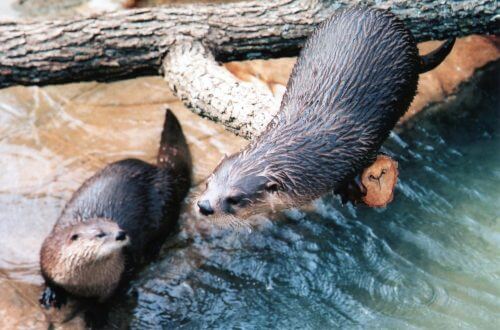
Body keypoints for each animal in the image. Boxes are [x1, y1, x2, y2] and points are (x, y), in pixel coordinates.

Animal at [38, 109, 191, 308]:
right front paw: (51, 293)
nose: (121, 234)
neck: (82, 285)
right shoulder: (47, 257)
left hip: (165, 202)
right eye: (100, 234)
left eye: (118, 226)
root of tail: (162, 172)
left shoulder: (121, 274)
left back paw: (153, 249)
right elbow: (48, 279)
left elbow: (108, 300)